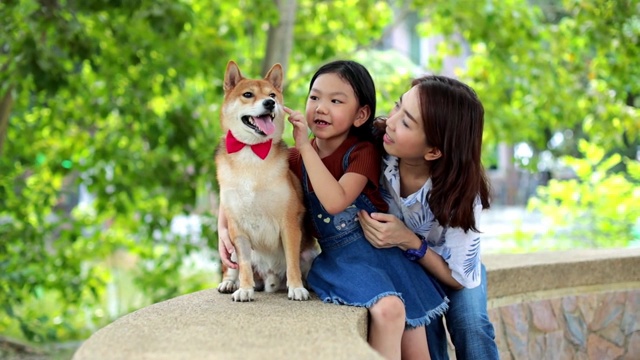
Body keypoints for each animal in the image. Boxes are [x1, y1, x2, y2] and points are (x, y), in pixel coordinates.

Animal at [215, 61, 316, 300]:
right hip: (230, 248)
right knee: (231, 268)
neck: (252, 152)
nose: (270, 103)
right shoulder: (237, 228)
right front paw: (244, 289)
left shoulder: (289, 222)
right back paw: (229, 283)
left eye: (272, 94)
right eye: (248, 94)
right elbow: (243, 265)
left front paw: (296, 287)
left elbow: (292, 261)